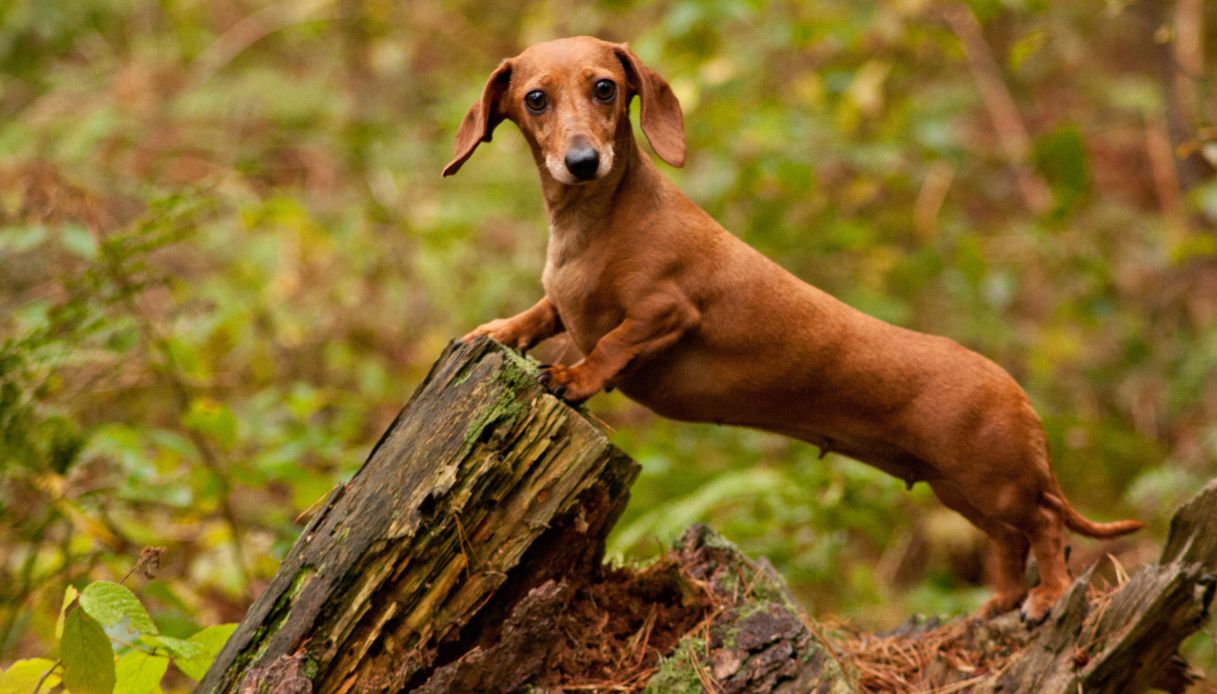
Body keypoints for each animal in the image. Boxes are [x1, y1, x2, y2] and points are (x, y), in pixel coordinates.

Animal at [445, 35, 1139, 620]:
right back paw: (1000, 600)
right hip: (960, 491)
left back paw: (1045, 597)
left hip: (996, 484)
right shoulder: (564, 303)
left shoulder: (665, 312)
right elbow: (541, 314)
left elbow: (611, 344)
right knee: (1009, 542)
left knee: (1046, 527)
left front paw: (576, 377)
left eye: (604, 87)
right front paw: (495, 333)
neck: (595, 223)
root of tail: (1019, 394)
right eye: (535, 98)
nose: (582, 161)